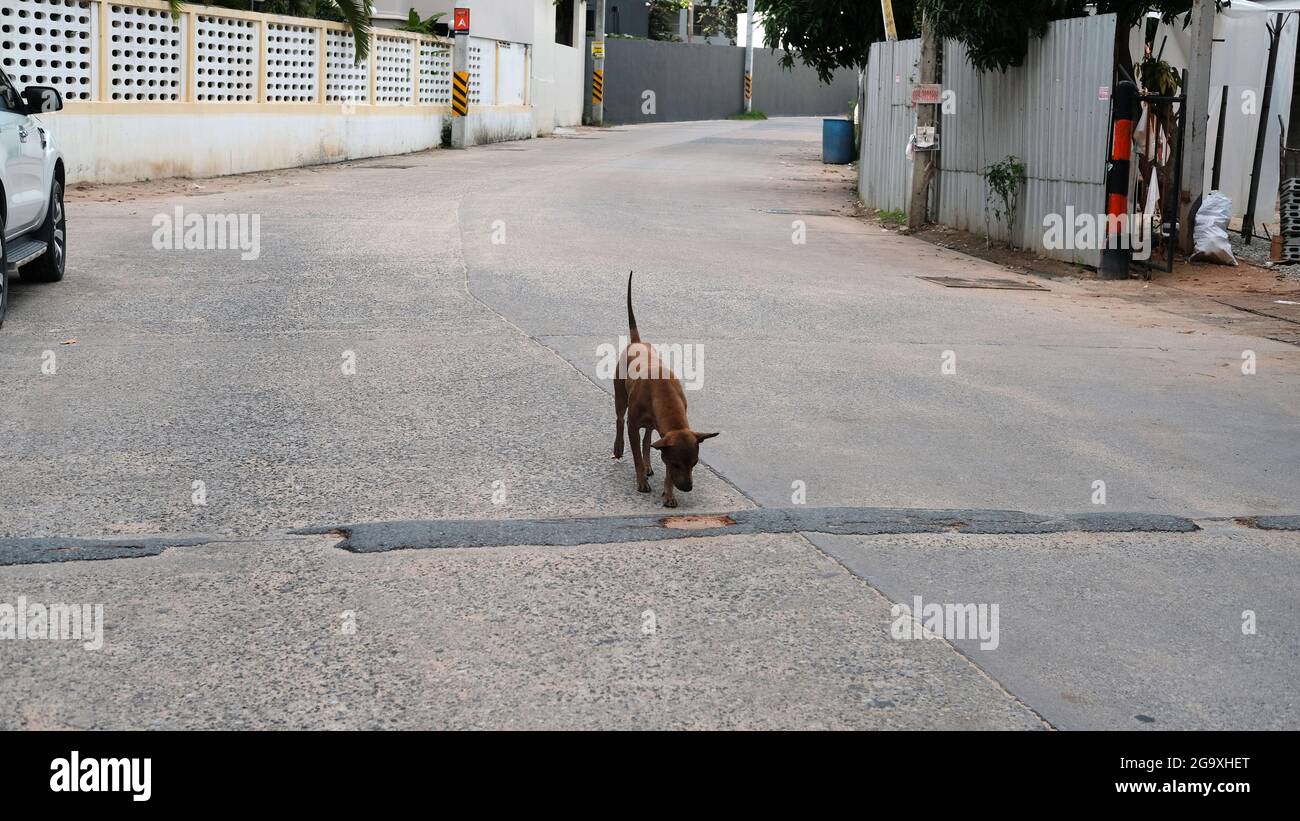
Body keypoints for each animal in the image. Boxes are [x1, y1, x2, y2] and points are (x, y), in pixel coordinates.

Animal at [611, 274, 717, 506]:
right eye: (677, 464)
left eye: (694, 463)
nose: (687, 488)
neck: (663, 393)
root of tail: (637, 342)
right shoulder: (635, 425)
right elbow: (636, 455)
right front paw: (641, 481)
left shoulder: (666, 434)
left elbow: (653, 449)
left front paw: (668, 493)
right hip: (620, 395)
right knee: (619, 420)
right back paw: (619, 447)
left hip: (653, 424)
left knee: (648, 439)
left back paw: (649, 464)